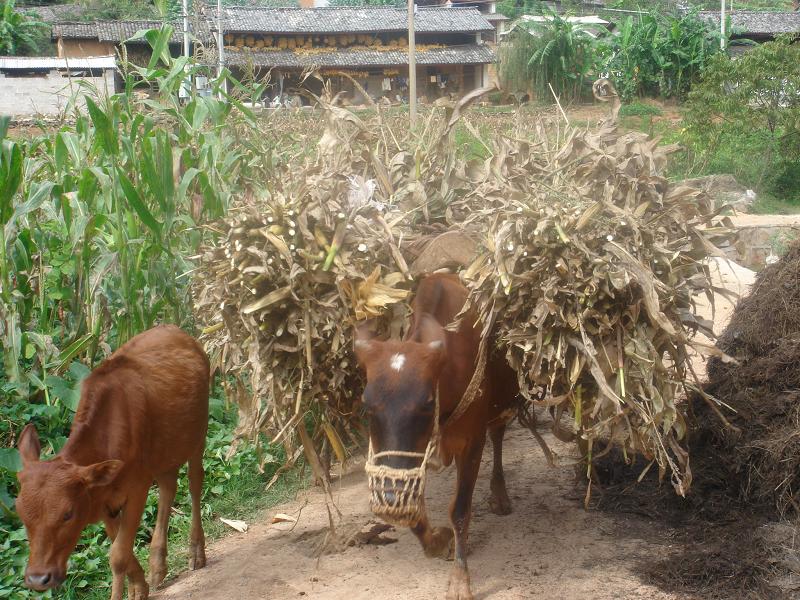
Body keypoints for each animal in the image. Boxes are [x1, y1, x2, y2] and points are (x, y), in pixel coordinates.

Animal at [16, 326, 209, 596]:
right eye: (21, 515)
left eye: (68, 514)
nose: (37, 578)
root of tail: (173, 329)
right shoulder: (101, 497)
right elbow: (123, 551)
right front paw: (139, 586)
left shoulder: (137, 488)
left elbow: (118, 555)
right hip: (163, 452)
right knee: (168, 487)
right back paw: (158, 566)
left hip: (198, 435)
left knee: (194, 483)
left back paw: (196, 552)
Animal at [356, 274, 520, 600]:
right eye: (367, 405)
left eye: (427, 402)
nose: (387, 497)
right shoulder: (415, 458)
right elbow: (415, 513)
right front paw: (441, 541)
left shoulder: (472, 444)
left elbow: (459, 510)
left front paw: (459, 580)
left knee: (498, 435)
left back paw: (500, 494)